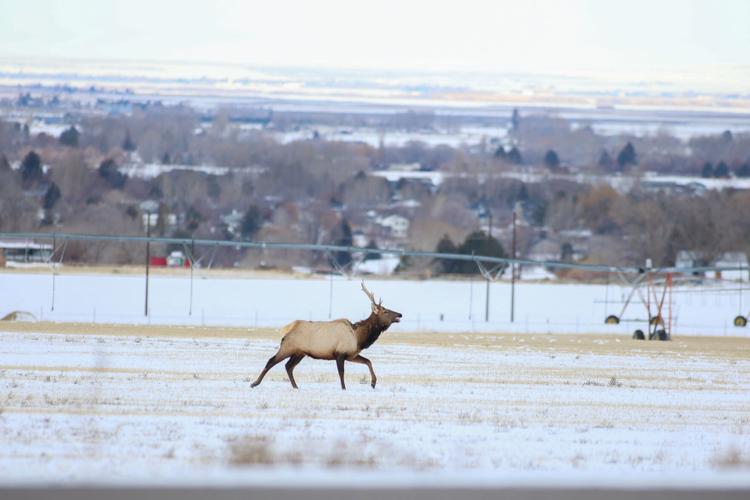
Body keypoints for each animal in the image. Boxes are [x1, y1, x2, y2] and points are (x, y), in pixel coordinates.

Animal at [250, 282, 402, 390]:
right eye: (385, 311)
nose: (400, 314)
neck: (359, 338)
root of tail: (289, 328)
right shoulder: (340, 353)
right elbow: (341, 373)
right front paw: (344, 388)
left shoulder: (351, 354)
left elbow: (368, 361)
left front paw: (373, 383)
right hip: (287, 347)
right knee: (271, 361)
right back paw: (254, 383)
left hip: (299, 352)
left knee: (288, 366)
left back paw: (295, 386)